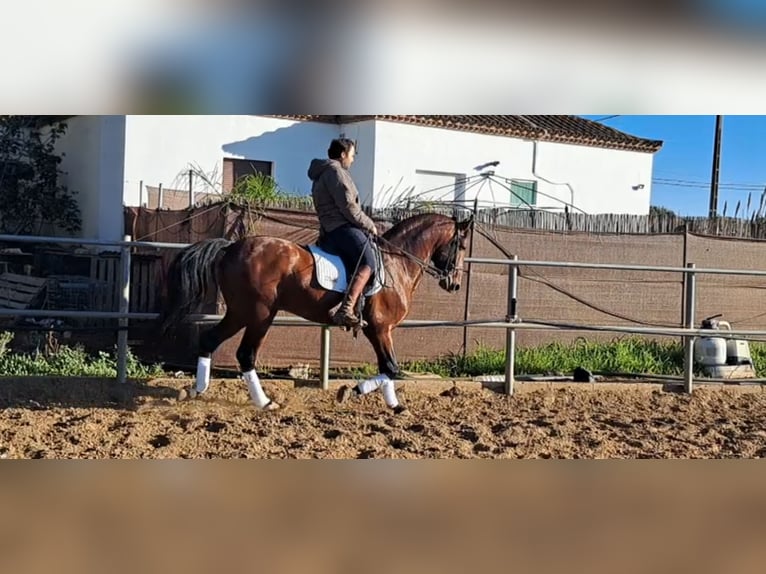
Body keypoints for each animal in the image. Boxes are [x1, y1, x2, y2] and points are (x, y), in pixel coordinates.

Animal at [158, 212, 472, 414]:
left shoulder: (381, 331)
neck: (397, 264)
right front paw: (352, 392)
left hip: (239, 313)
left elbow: (388, 368)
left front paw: (395, 406)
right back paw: (264, 403)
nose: (455, 283)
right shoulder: (380, 328)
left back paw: (197, 390)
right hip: (258, 314)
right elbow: (391, 367)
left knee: (210, 341)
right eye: (461, 245)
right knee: (245, 354)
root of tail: (230, 247)